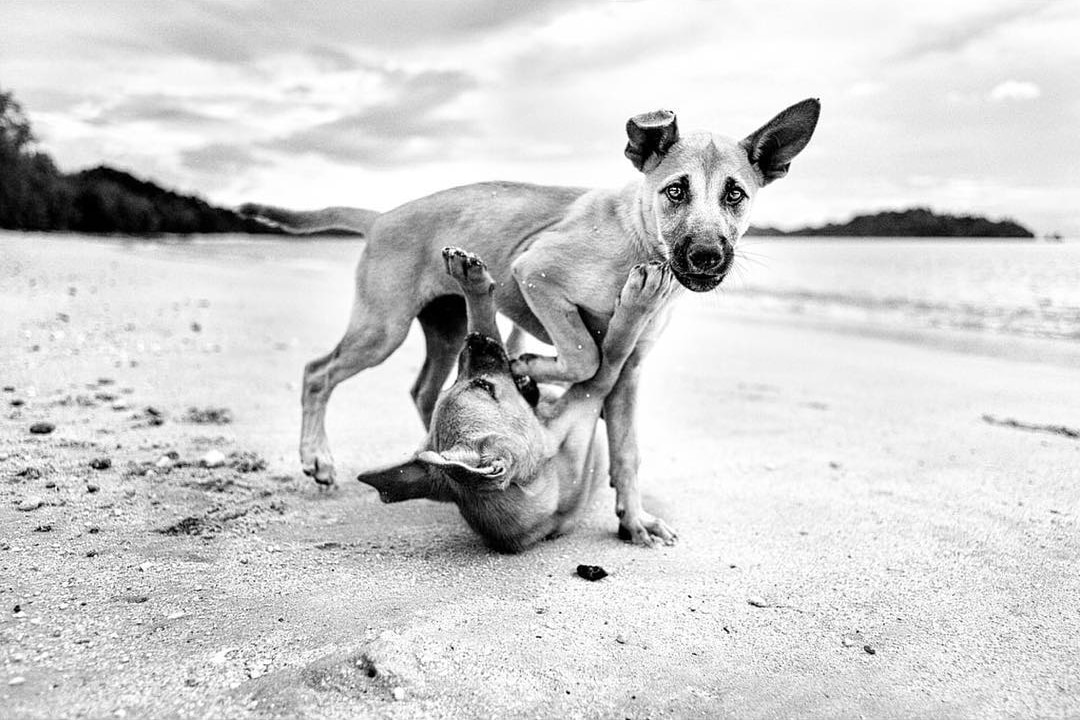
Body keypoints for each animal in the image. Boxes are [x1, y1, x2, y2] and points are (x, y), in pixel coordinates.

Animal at [358, 248, 669, 552]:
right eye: (485, 386)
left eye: (462, 385)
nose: (471, 340)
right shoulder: (588, 396)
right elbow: (615, 349)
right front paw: (639, 300)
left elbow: (487, 322)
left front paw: (474, 285)